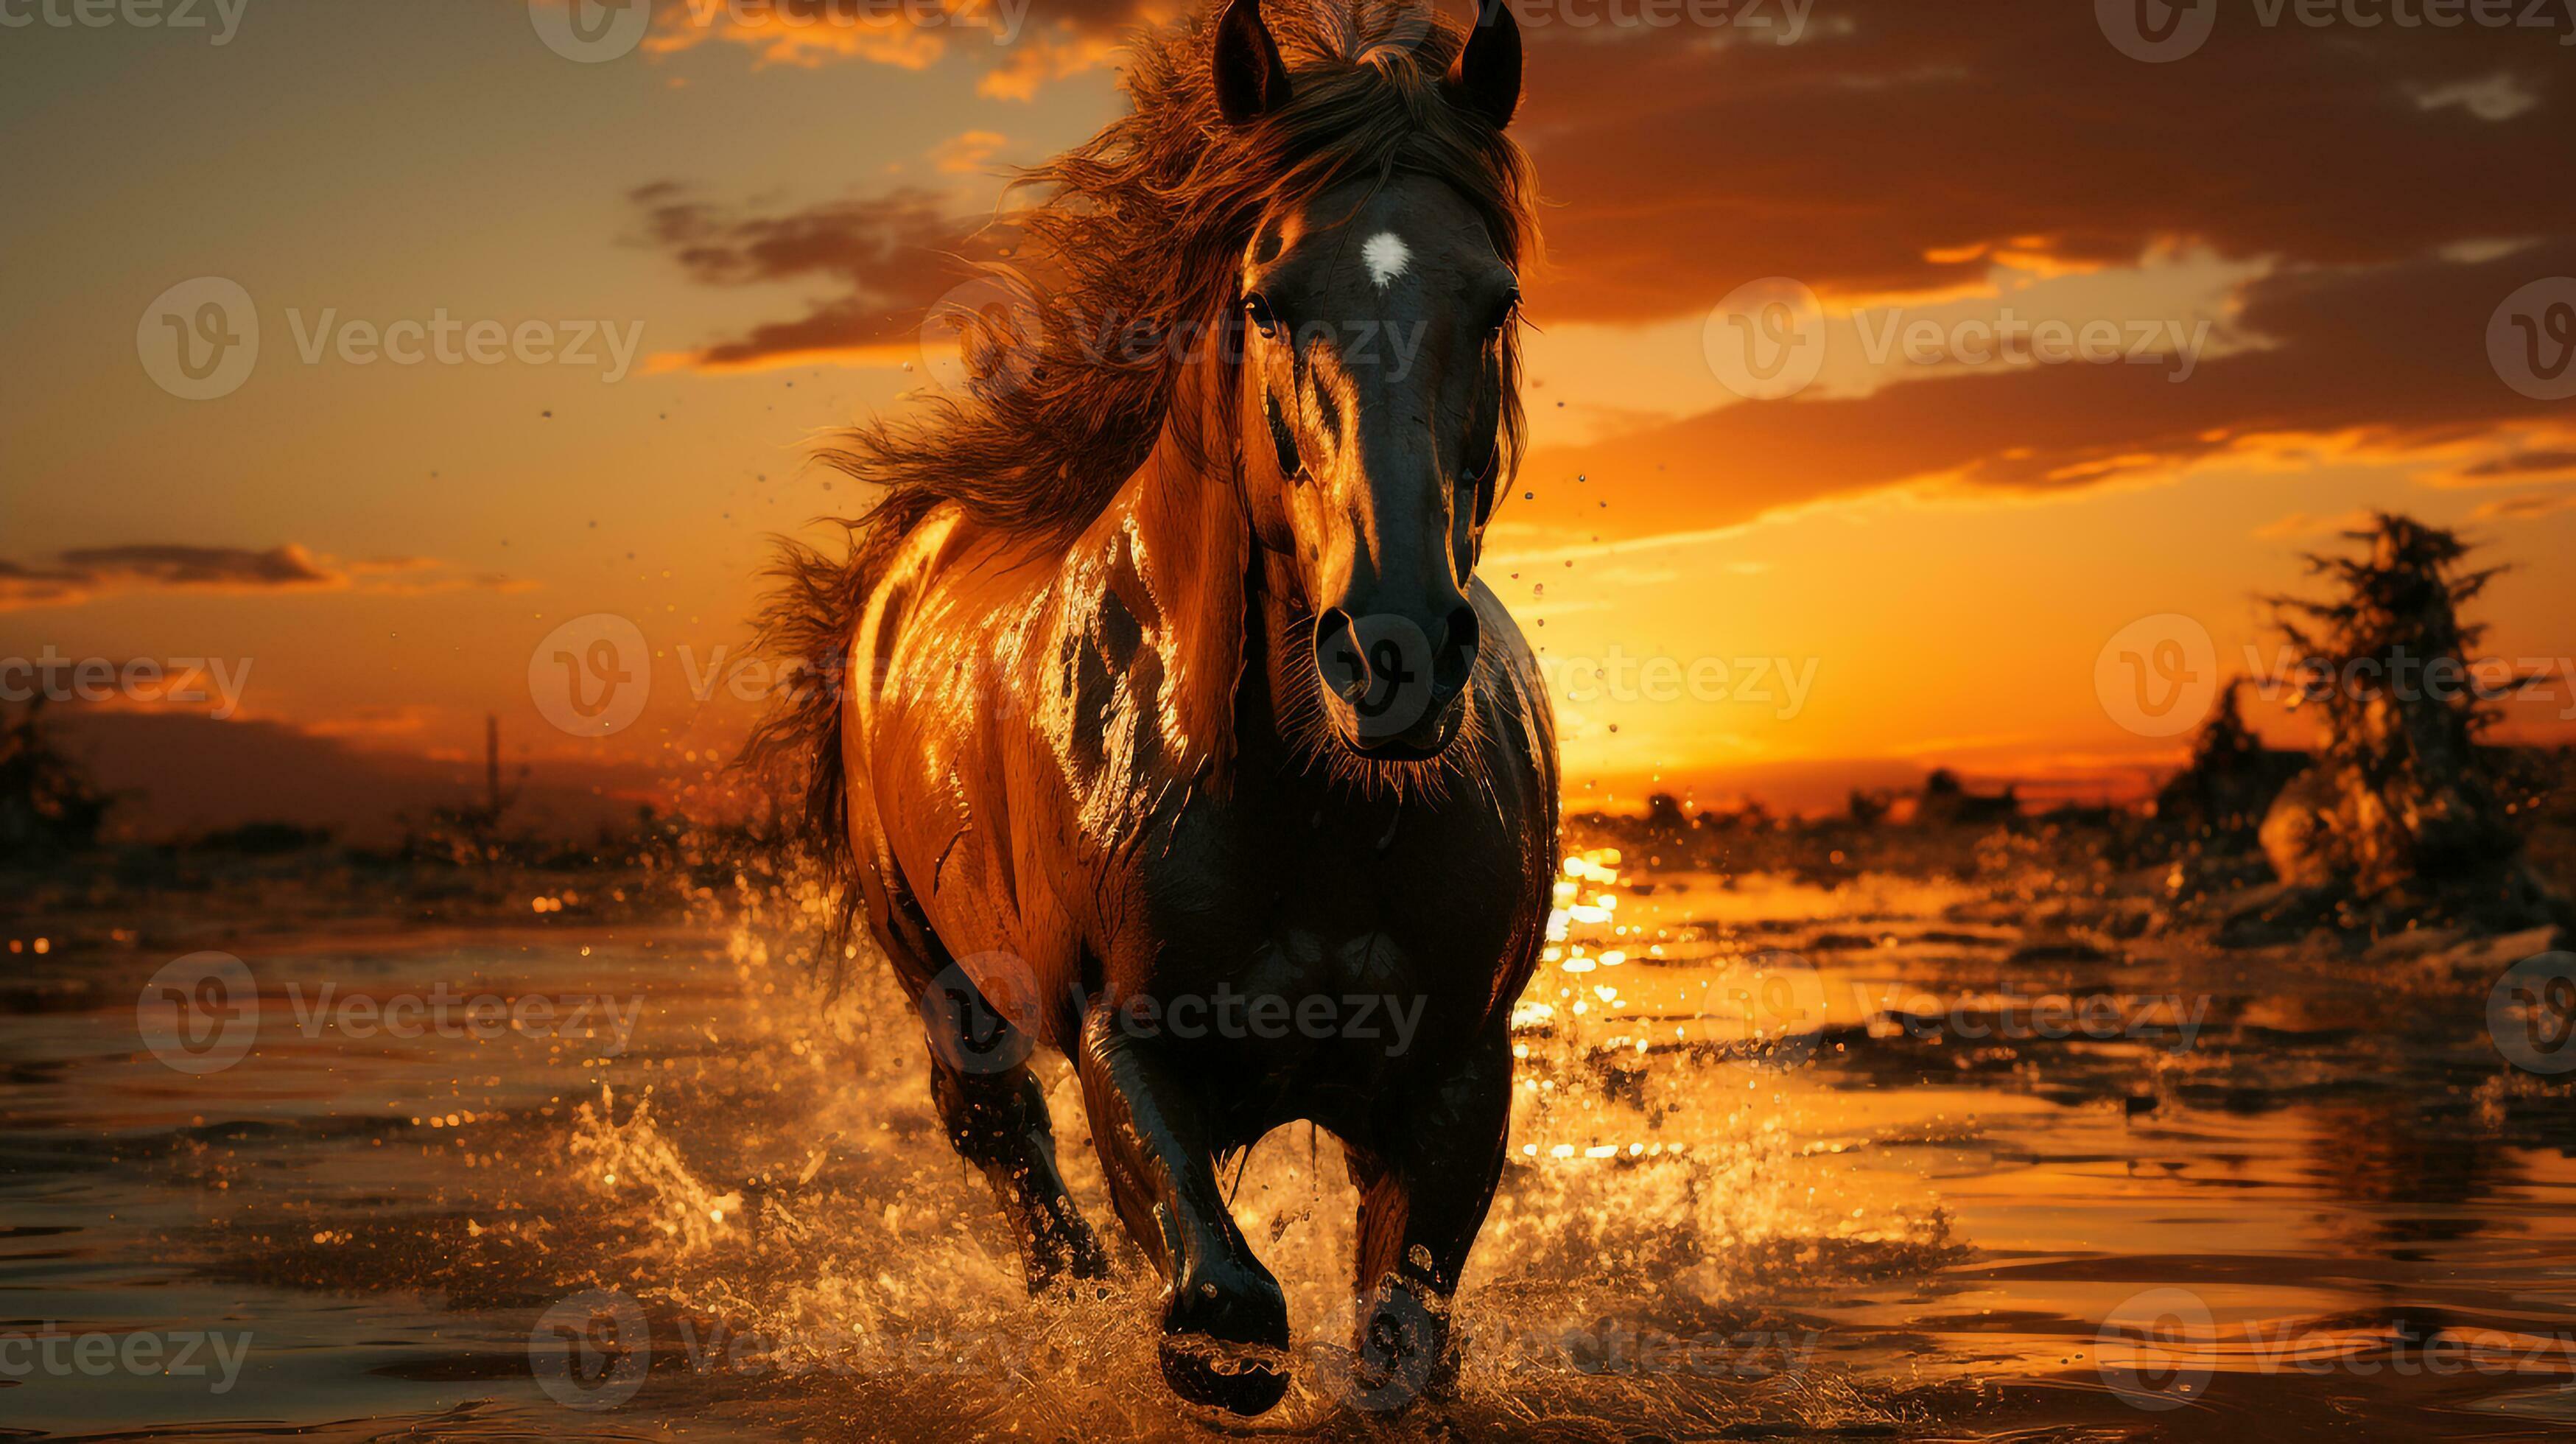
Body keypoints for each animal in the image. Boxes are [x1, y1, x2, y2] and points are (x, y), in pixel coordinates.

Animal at [750, 0, 1556, 1414]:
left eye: (1496, 299)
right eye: (1265, 302)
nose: (1394, 651)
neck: (1306, 806)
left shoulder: (1459, 1075)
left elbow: (1399, 1345)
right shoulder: (1123, 1045)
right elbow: (1221, 1313)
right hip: (945, 990)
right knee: (1011, 1155)